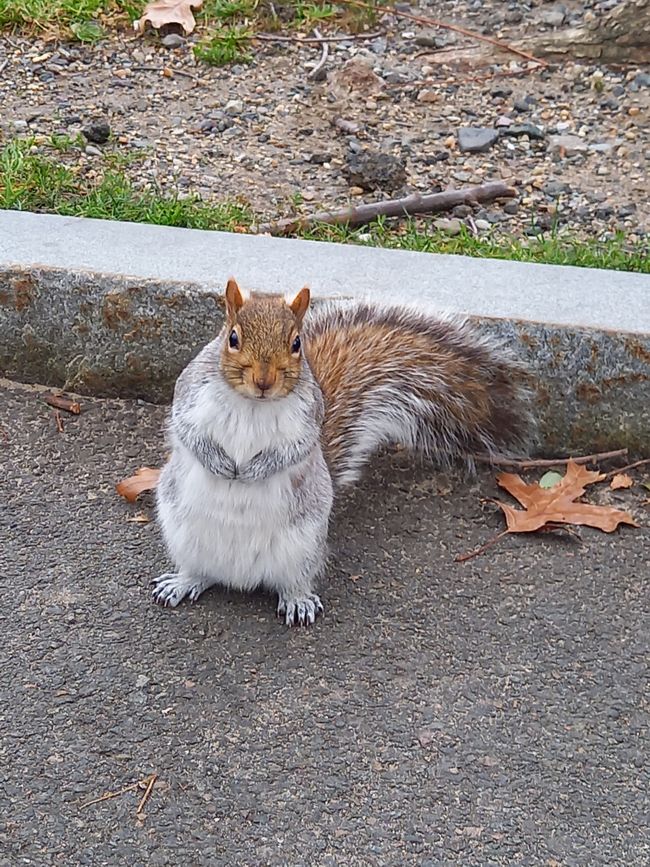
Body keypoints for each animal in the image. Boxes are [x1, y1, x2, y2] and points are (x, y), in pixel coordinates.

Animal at [153, 282, 532, 628]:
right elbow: (188, 433)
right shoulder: (188, 396)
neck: (252, 404)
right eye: (233, 338)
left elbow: (293, 449)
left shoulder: (308, 420)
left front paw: (253, 471)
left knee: (291, 582)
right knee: (200, 572)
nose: (264, 381)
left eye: (296, 344)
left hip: (301, 547)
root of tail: (239, 578)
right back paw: (181, 583)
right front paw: (219, 463)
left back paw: (298, 602)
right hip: (182, 535)